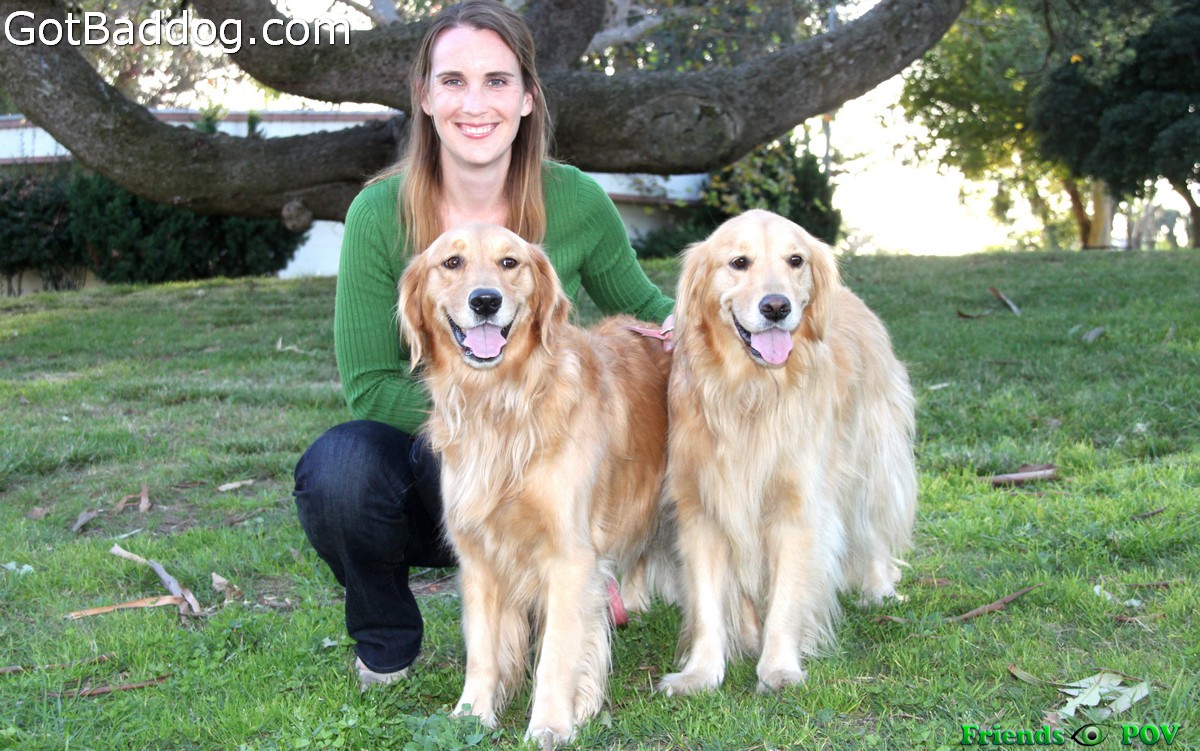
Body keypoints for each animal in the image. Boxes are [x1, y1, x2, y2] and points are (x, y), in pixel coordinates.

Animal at [398, 223, 674, 746]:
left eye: (510, 262)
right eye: (451, 263)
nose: (486, 301)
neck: (501, 403)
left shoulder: (569, 556)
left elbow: (557, 653)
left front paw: (550, 724)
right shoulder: (478, 554)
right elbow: (483, 651)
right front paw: (471, 713)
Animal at [656, 209, 917, 696]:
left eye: (795, 260)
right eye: (739, 262)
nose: (776, 307)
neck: (752, 394)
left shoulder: (798, 508)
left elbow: (788, 597)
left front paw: (778, 667)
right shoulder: (703, 509)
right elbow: (707, 603)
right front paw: (701, 672)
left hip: (871, 461)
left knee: (872, 529)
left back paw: (879, 589)